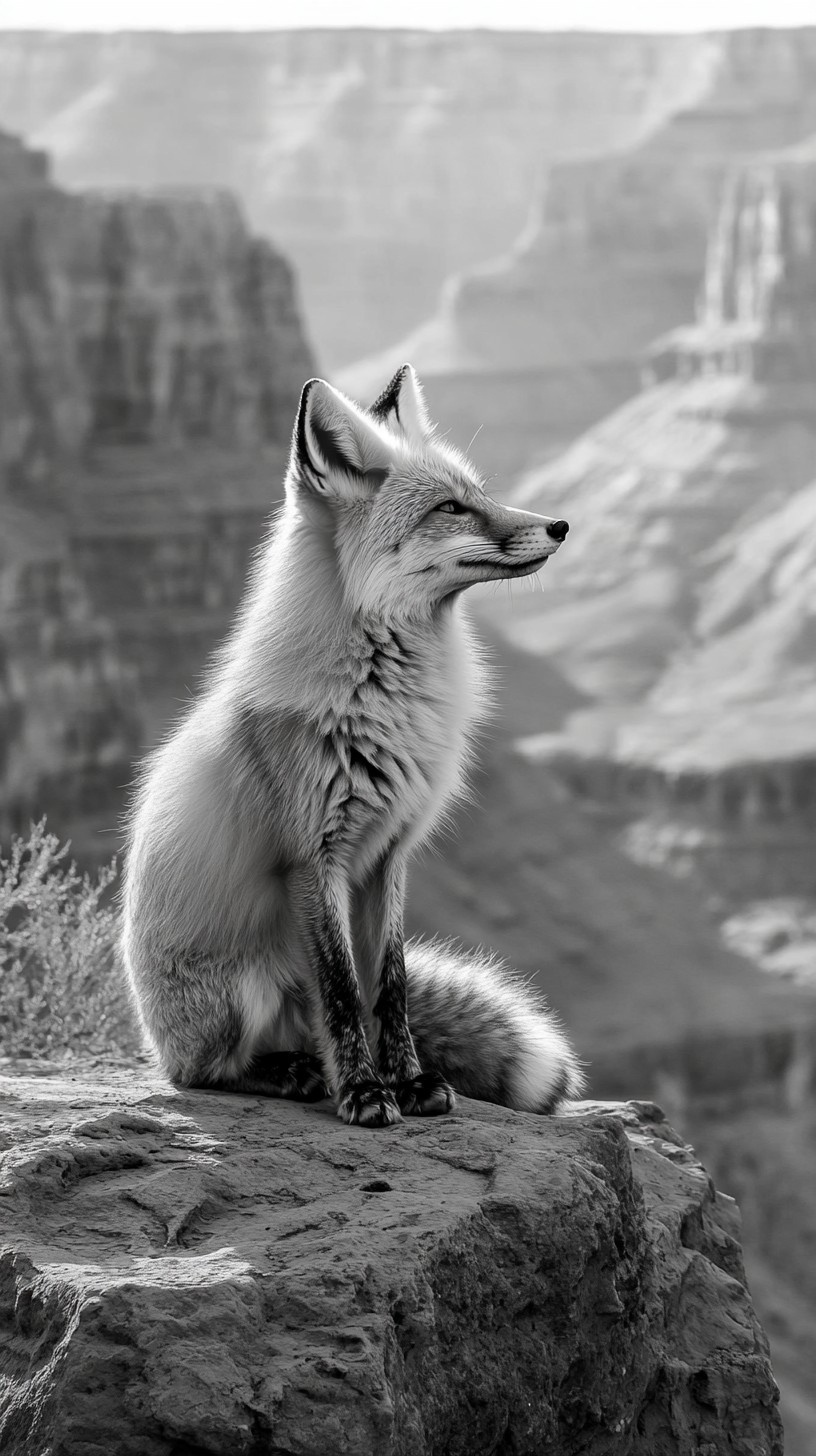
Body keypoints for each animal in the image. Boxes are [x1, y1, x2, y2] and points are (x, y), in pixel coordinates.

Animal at [123, 364, 584, 1128]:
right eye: (451, 509)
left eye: (479, 493)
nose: (561, 525)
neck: (379, 697)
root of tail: (153, 1034)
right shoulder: (312, 859)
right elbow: (342, 991)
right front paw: (366, 1093)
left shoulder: (390, 854)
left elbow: (387, 988)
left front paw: (411, 1082)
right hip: (241, 992)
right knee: (207, 1071)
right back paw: (293, 1074)